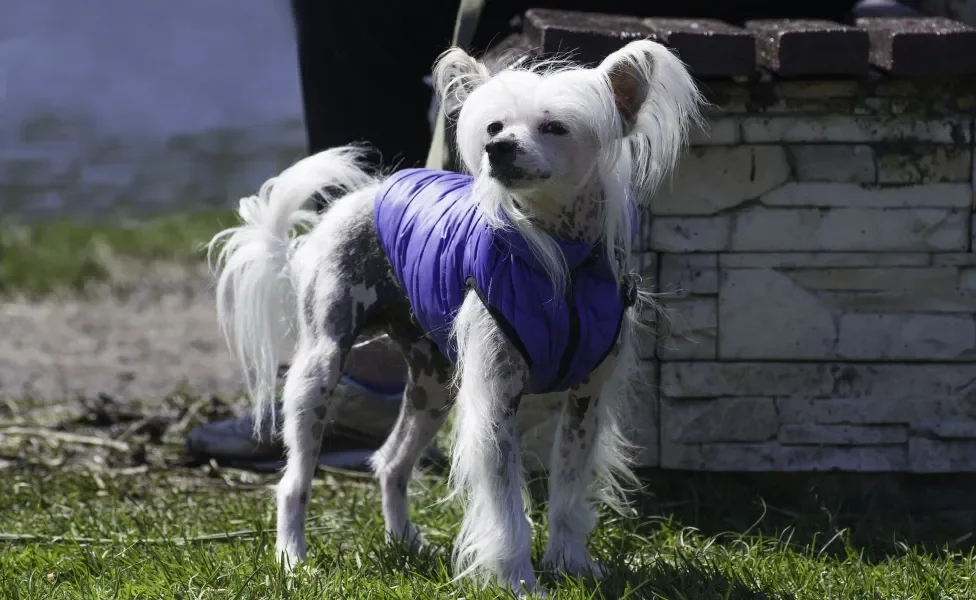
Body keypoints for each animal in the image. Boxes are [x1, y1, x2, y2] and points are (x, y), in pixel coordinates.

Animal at [210, 38, 704, 596]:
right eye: (493, 127)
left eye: (555, 127)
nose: (499, 149)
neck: (562, 262)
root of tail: (349, 204)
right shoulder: (495, 402)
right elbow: (507, 510)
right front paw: (520, 582)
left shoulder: (585, 403)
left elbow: (568, 492)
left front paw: (572, 564)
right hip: (319, 371)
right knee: (294, 482)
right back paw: (293, 560)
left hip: (433, 386)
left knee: (390, 462)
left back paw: (406, 544)